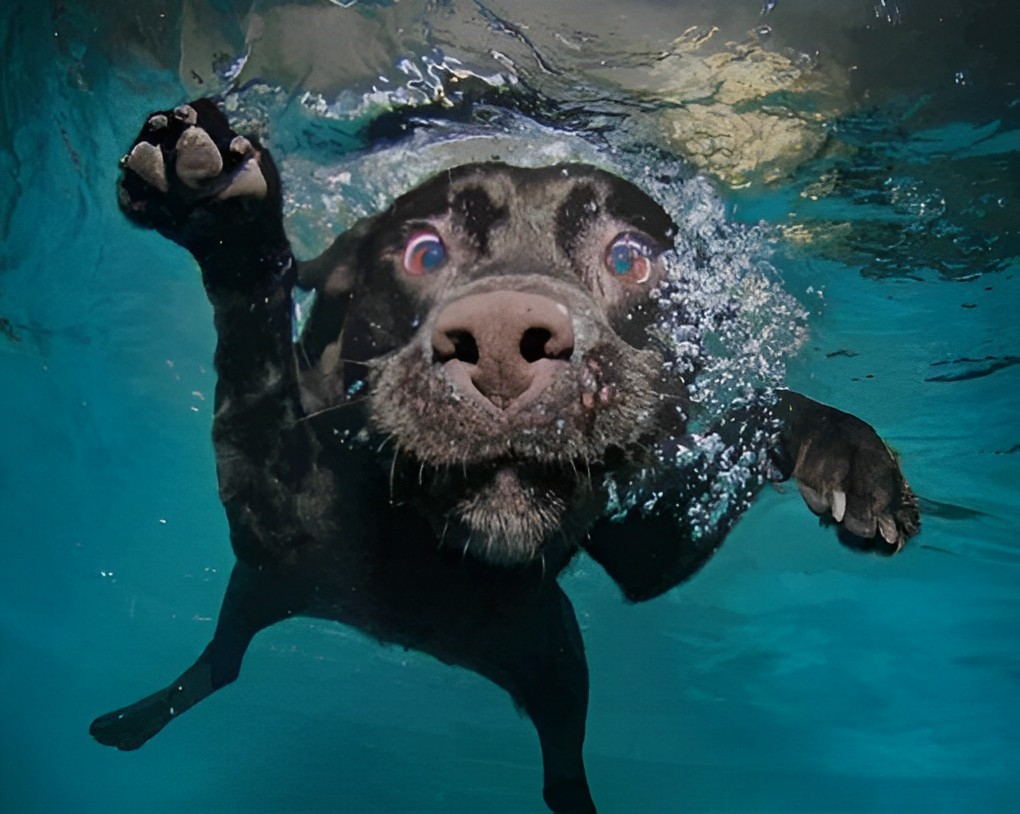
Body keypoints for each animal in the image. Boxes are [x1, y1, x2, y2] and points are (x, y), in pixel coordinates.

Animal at [91, 102, 918, 814]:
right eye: (423, 251)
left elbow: (764, 409)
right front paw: (223, 212)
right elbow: (254, 362)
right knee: (223, 663)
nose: (499, 343)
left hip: (556, 659)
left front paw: (852, 458)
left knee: (561, 775)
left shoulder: (647, 549)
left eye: (630, 259)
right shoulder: (274, 514)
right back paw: (131, 722)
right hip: (262, 590)